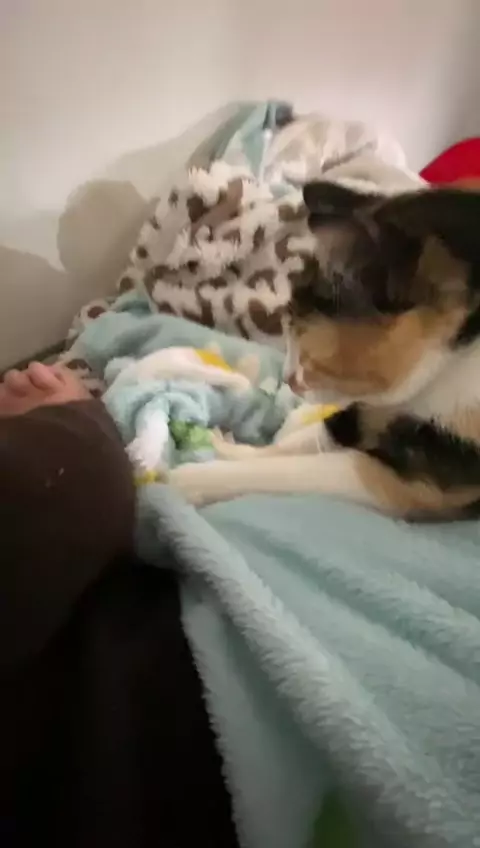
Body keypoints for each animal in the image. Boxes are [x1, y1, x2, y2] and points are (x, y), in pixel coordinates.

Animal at [169, 182, 480, 520]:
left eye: (303, 341)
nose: (288, 378)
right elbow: (314, 438)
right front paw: (228, 448)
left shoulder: (429, 479)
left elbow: (316, 467)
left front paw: (192, 479)